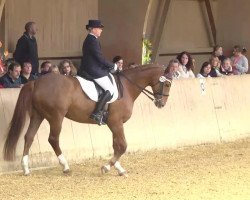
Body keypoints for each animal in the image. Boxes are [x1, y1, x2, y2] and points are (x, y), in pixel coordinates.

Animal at [3, 65, 172, 176]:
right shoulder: (116, 122)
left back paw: (26, 168)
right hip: (56, 116)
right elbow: (122, 146)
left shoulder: (113, 124)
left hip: (38, 115)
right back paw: (65, 166)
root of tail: (36, 82)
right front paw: (107, 167)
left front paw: (118, 168)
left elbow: (116, 145)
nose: (161, 104)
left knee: (29, 137)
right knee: (53, 139)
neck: (127, 87)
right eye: (167, 83)